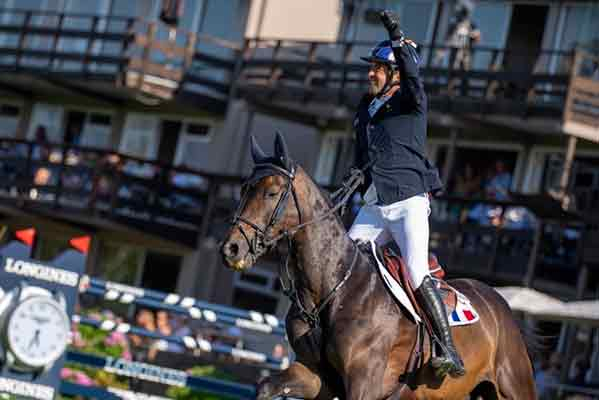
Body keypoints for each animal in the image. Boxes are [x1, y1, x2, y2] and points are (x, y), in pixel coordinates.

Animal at [219, 133, 536, 398]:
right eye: (244, 188)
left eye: (271, 193)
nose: (230, 249)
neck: (332, 289)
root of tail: (500, 303)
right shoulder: (314, 374)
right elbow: (265, 385)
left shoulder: (365, 383)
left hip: (513, 389)